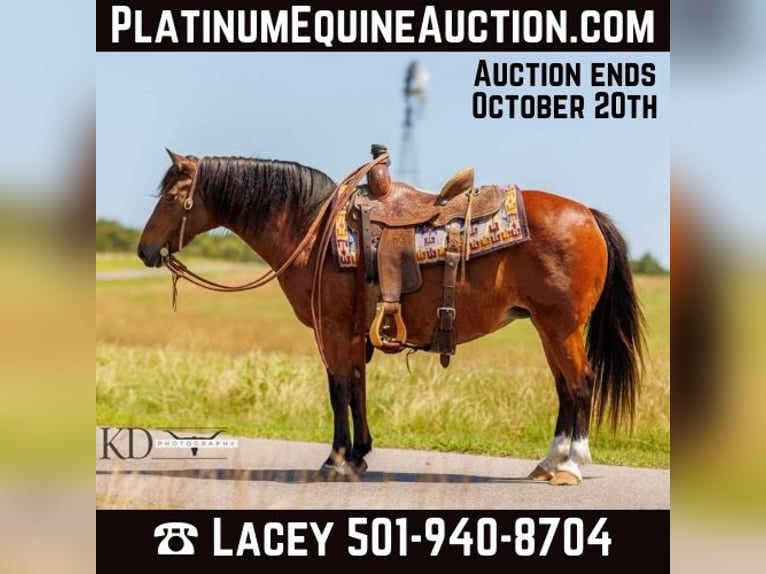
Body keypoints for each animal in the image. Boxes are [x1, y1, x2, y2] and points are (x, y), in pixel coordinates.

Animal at [137, 149, 645, 486]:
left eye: (172, 196)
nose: (145, 250)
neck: (312, 231)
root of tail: (587, 215)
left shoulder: (333, 329)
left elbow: (340, 389)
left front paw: (337, 459)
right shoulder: (352, 332)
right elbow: (357, 386)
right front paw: (360, 455)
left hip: (561, 327)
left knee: (580, 384)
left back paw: (572, 464)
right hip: (548, 328)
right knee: (564, 388)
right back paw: (548, 463)